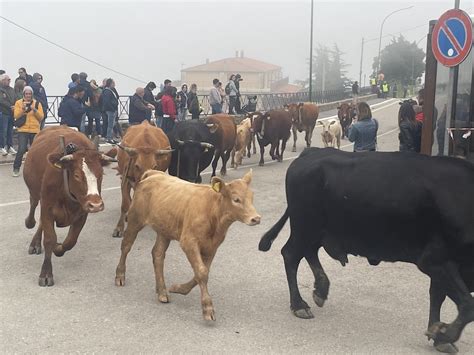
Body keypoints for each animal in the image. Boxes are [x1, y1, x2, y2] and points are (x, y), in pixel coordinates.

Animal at [116, 171, 262, 322]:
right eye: (236, 199)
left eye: (252, 196)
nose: (256, 218)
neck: (212, 211)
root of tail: (154, 174)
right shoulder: (189, 242)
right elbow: (202, 272)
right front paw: (207, 308)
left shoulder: (212, 247)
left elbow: (202, 272)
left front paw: (179, 288)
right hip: (135, 220)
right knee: (126, 245)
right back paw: (120, 275)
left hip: (164, 230)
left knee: (158, 254)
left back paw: (162, 290)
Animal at [260, 147, 474, 354]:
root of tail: (311, 152)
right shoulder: (434, 259)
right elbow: (467, 305)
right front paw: (445, 335)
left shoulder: (448, 264)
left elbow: (438, 295)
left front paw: (438, 335)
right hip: (305, 225)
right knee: (291, 254)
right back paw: (299, 305)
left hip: (317, 230)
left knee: (308, 252)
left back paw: (320, 289)